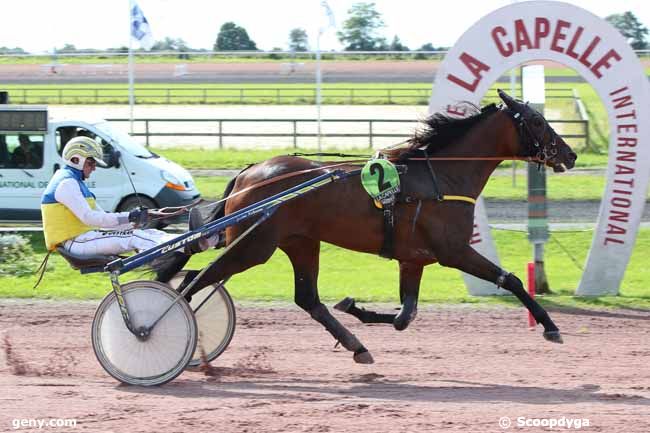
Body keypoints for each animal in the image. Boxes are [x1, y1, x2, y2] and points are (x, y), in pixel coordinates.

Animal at [159, 89, 576, 362]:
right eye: (537, 120)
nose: (570, 154)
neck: (441, 177)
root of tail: (249, 173)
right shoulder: (453, 251)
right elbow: (512, 280)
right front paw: (549, 325)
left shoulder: (414, 259)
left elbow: (405, 316)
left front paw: (354, 306)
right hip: (254, 246)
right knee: (195, 278)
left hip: (298, 242)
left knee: (306, 298)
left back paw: (357, 345)